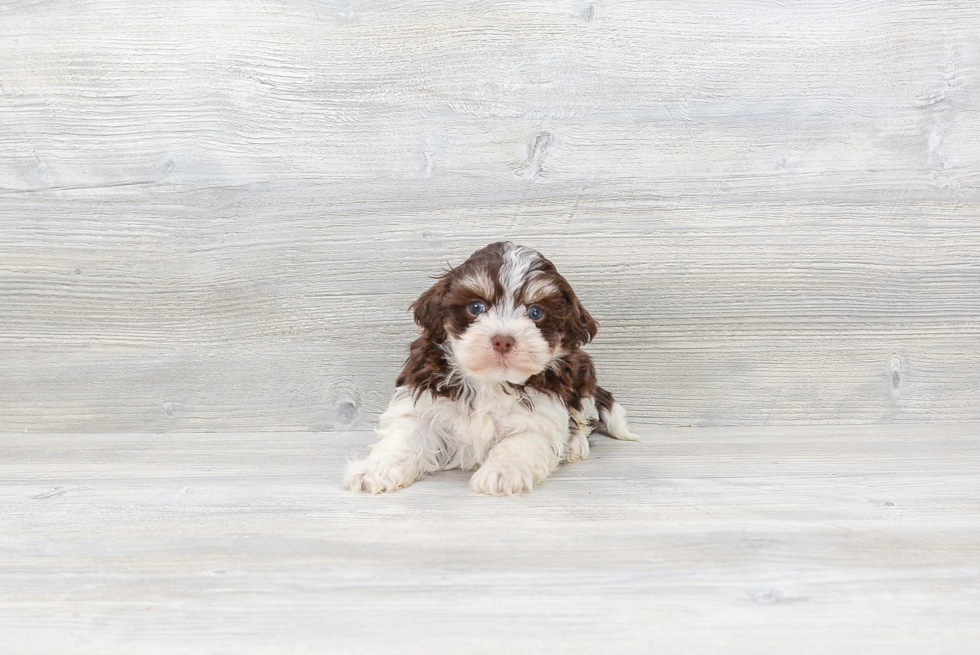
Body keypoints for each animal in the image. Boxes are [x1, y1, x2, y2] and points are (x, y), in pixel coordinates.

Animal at [342, 242, 636, 498]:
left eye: (535, 312)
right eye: (476, 307)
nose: (503, 339)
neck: (490, 380)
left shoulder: (543, 411)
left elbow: (521, 440)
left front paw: (502, 472)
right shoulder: (423, 399)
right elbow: (404, 436)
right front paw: (375, 470)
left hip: (581, 372)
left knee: (583, 414)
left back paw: (575, 445)